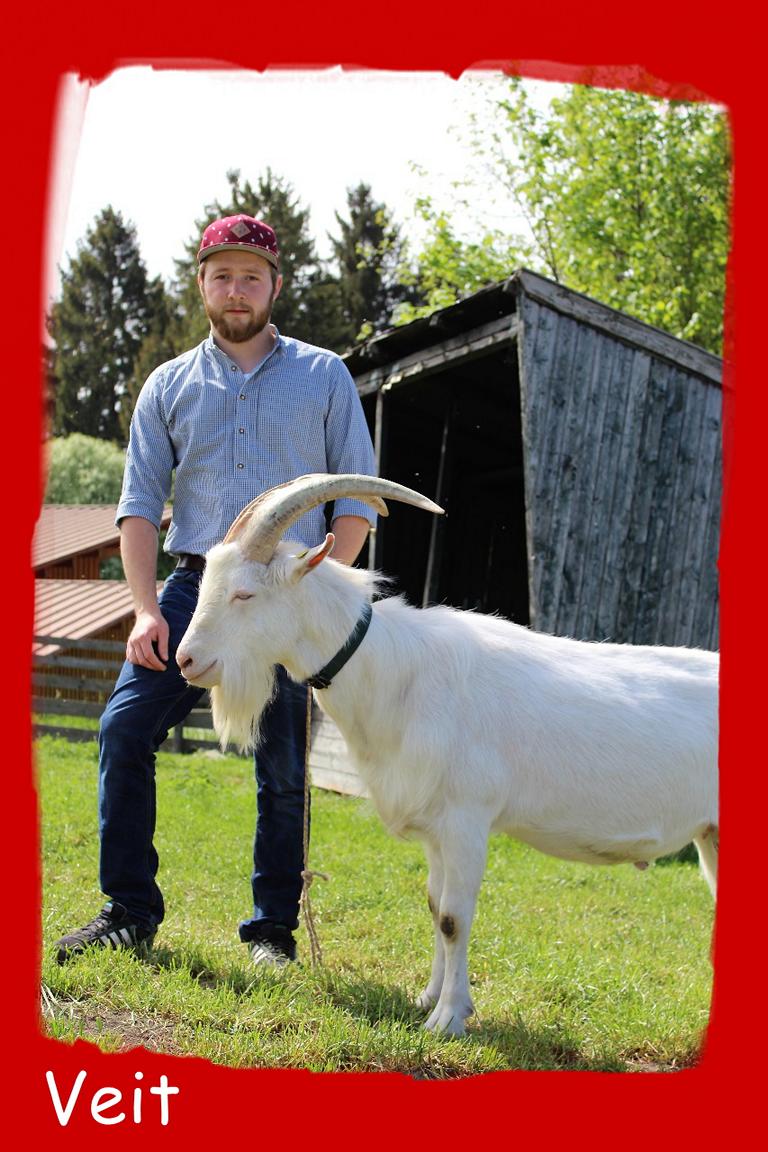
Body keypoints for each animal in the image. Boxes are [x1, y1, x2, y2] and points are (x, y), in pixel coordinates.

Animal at [175, 473, 719, 1037]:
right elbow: (435, 907)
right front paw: (428, 997)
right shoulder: (435, 826)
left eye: (244, 593)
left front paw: (448, 1018)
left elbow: (456, 917)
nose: (186, 660)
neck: (399, 673)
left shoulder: (465, 820)